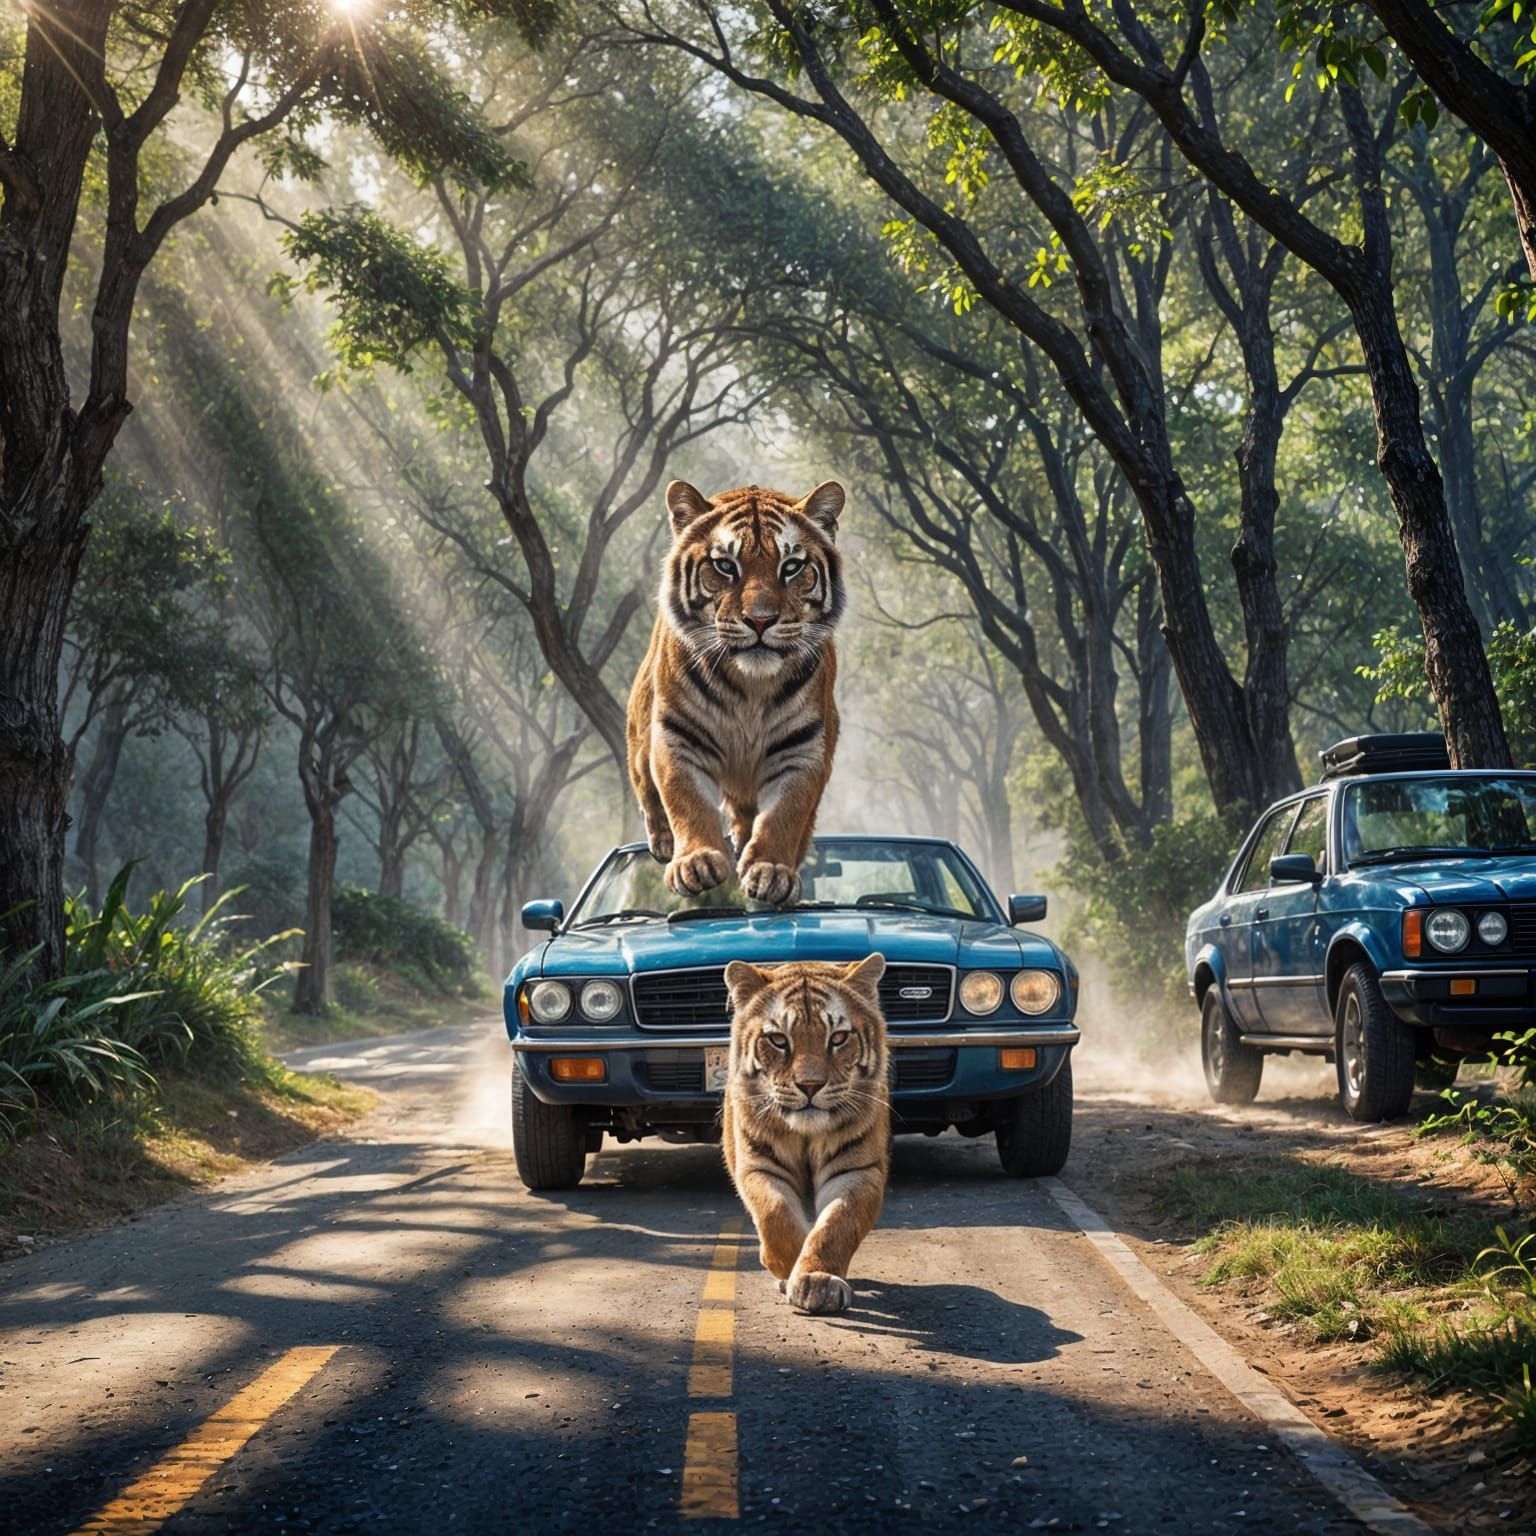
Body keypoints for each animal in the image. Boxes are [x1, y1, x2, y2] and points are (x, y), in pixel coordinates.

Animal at [626, 479, 846, 906]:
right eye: (725, 566)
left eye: (791, 567)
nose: (760, 620)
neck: (750, 687)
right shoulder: (678, 736)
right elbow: (686, 798)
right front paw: (696, 863)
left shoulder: (803, 747)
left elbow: (785, 812)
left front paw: (771, 871)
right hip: (641, 734)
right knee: (645, 784)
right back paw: (664, 842)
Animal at [722, 954, 890, 1315]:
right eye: (779, 1040)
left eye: (838, 1038)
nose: (810, 1085)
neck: (805, 1134)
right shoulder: (759, 1165)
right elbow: (775, 1215)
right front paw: (786, 1270)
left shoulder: (857, 1169)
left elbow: (836, 1224)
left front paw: (816, 1280)